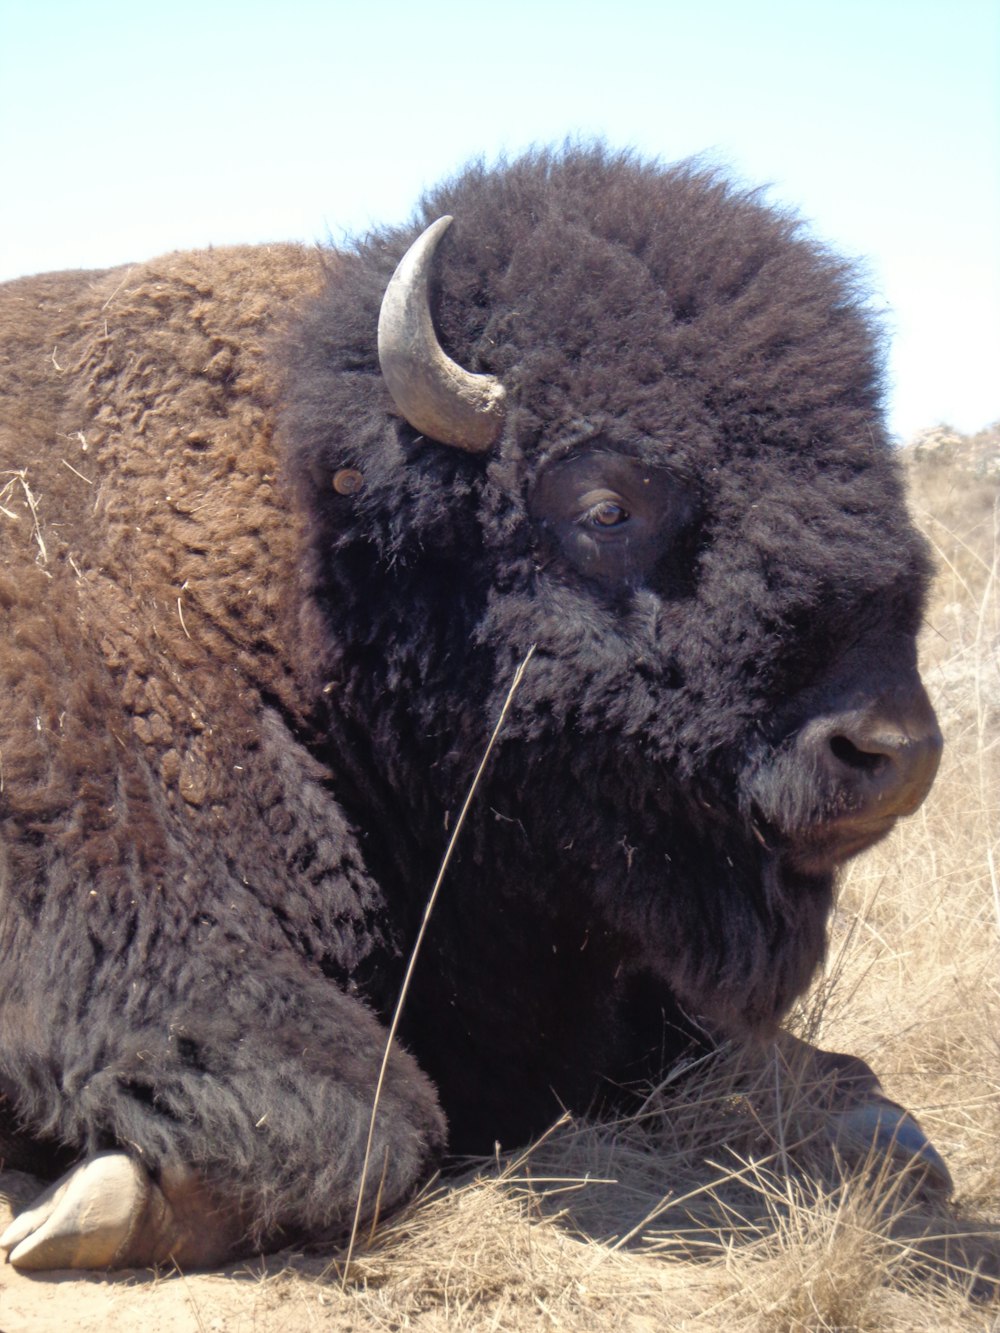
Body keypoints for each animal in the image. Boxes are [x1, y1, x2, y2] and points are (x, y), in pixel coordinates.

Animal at [0, 145, 949, 1269]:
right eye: (605, 506)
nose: (887, 750)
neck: (317, 583)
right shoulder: (129, 908)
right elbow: (363, 1122)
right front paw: (85, 1202)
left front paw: (891, 1133)